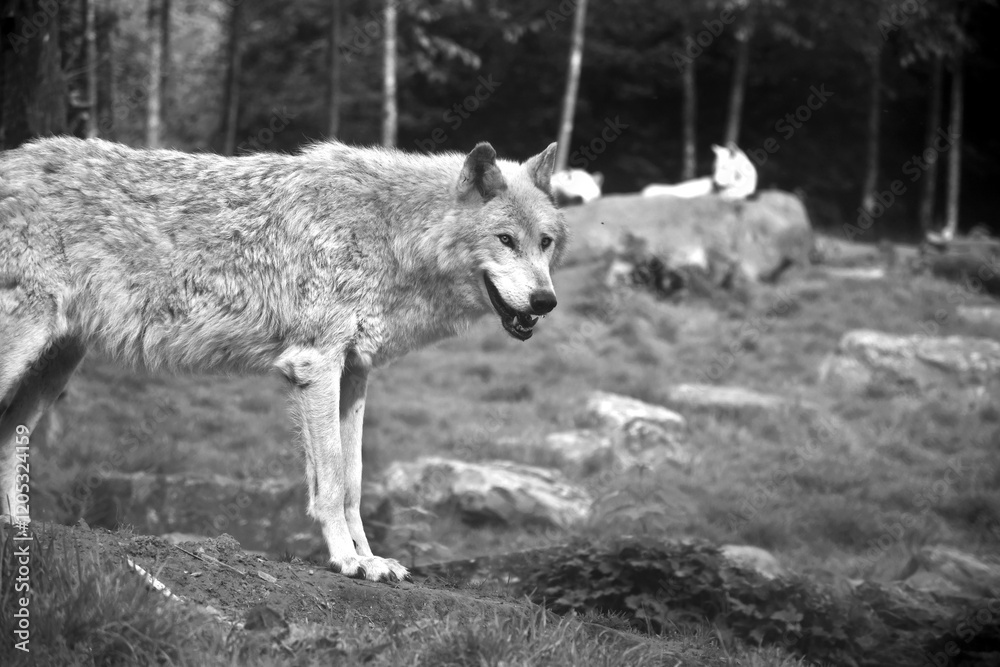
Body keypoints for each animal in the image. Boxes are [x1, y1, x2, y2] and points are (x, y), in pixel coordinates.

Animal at [0, 137, 564, 582]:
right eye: (505, 240)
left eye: (546, 243)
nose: (545, 302)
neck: (389, 234)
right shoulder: (315, 366)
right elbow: (332, 481)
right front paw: (346, 561)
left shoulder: (354, 374)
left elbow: (354, 482)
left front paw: (371, 559)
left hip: (54, 368)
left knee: (10, 438)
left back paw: (17, 528)